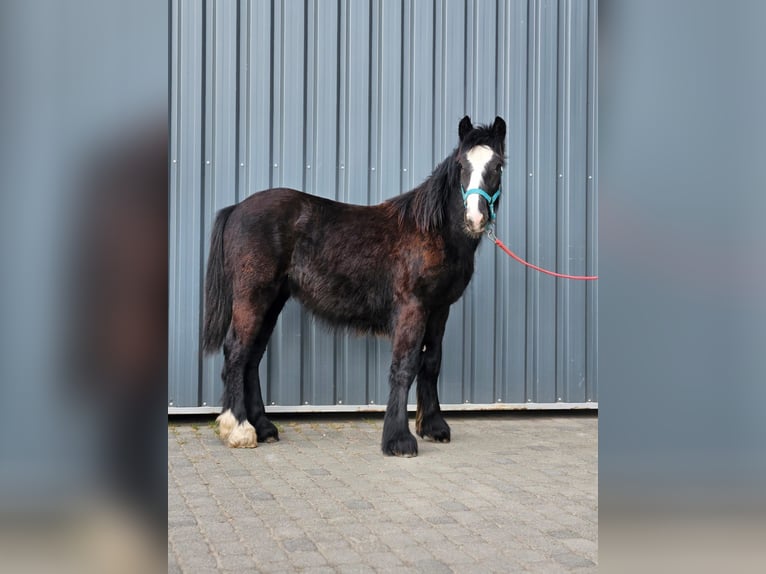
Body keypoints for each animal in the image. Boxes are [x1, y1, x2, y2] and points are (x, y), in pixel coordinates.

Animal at [203, 115, 506, 456]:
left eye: (497, 165)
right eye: (461, 165)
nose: (475, 218)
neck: (433, 231)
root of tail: (237, 209)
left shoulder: (440, 310)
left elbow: (431, 363)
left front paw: (433, 427)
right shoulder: (413, 307)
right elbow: (405, 365)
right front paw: (398, 440)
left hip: (273, 300)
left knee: (252, 356)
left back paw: (264, 427)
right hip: (252, 296)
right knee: (236, 351)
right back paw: (239, 428)